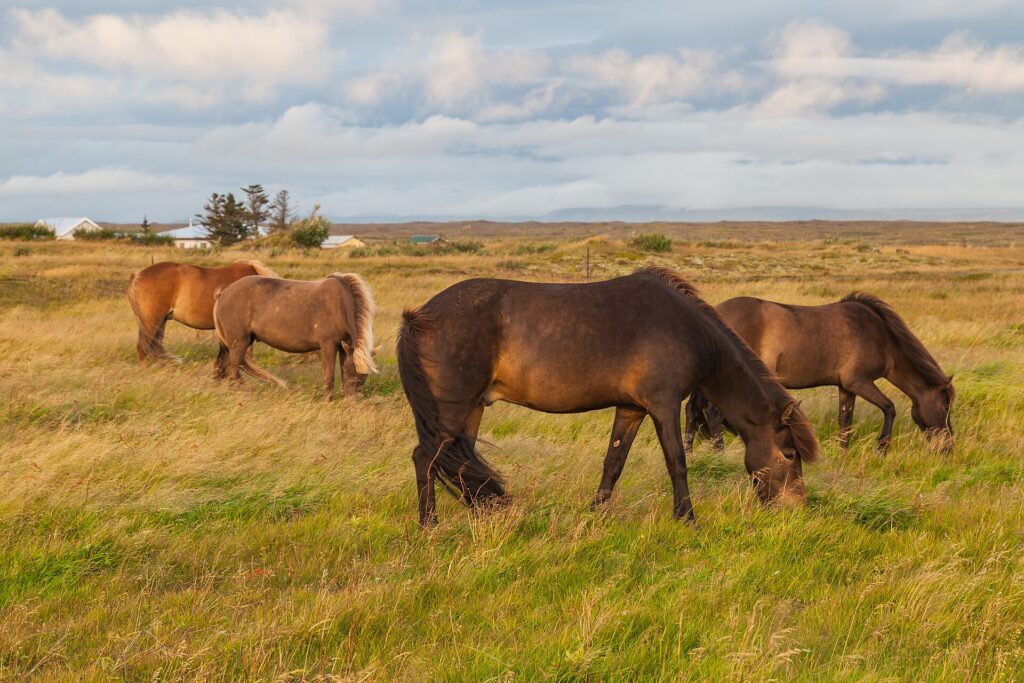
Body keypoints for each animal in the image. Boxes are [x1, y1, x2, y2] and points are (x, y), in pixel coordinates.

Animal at [212, 273, 378, 399]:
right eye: (352, 372)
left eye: (364, 377)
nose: (351, 400)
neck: (341, 305)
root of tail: (222, 294)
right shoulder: (328, 345)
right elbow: (329, 377)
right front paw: (328, 401)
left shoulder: (344, 348)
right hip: (239, 342)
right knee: (233, 371)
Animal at [396, 267, 819, 527]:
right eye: (789, 455)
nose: (797, 509)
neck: (687, 328)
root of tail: (419, 316)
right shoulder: (664, 404)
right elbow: (677, 463)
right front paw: (687, 518)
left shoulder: (631, 409)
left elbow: (613, 463)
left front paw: (595, 513)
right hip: (450, 412)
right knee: (426, 459)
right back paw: (429, 526)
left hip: (470, 411)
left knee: (461, 461)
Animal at [685, 293, 955, 453]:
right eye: (945, 407)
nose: (948, 447)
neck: (881, 336)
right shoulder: (859, 382)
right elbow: (889, 408)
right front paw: (882, 447)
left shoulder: (846, 387)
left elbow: (845, 420)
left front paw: (843, 451)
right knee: (713, 414)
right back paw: (719, 452)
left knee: (692, 410)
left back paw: (689, 449)